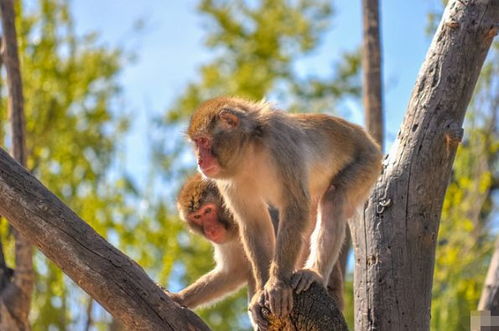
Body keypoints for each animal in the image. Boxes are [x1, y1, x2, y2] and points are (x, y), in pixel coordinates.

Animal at [188, 96, 382, 326]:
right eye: (197, 143)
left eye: (203, 141)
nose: (200, 161)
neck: (250, 151)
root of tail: (364, 135)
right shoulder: (228, 181)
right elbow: (253, 222)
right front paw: (262, 290)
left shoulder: (280, 144)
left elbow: (295, 206)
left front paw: (277, 284)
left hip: (367, 161)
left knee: (334, 198)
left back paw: (314, 272)